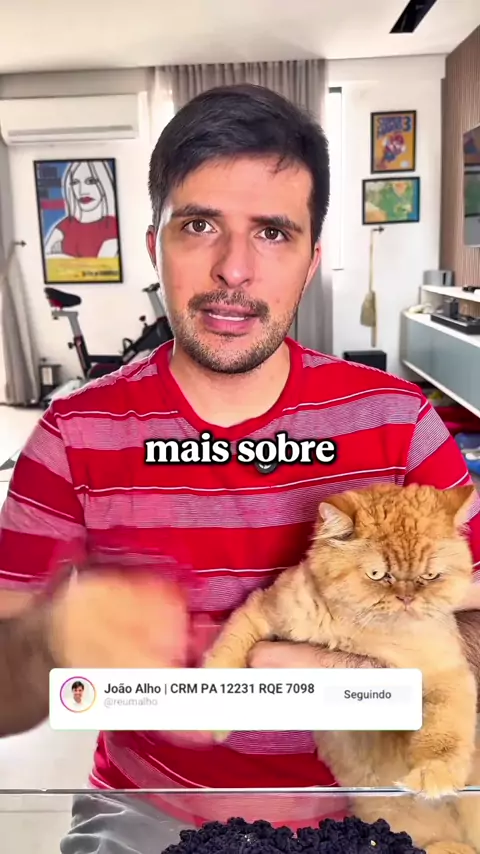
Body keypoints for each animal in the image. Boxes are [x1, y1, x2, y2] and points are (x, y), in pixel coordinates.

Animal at [203, 483, 479, 854]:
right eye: (377, 574)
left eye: (430, 576)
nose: (406, 598)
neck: (359, 631)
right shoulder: (261, 611)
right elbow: (225, 656)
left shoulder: (447, 674)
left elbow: (445, 735)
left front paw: (434, 775)